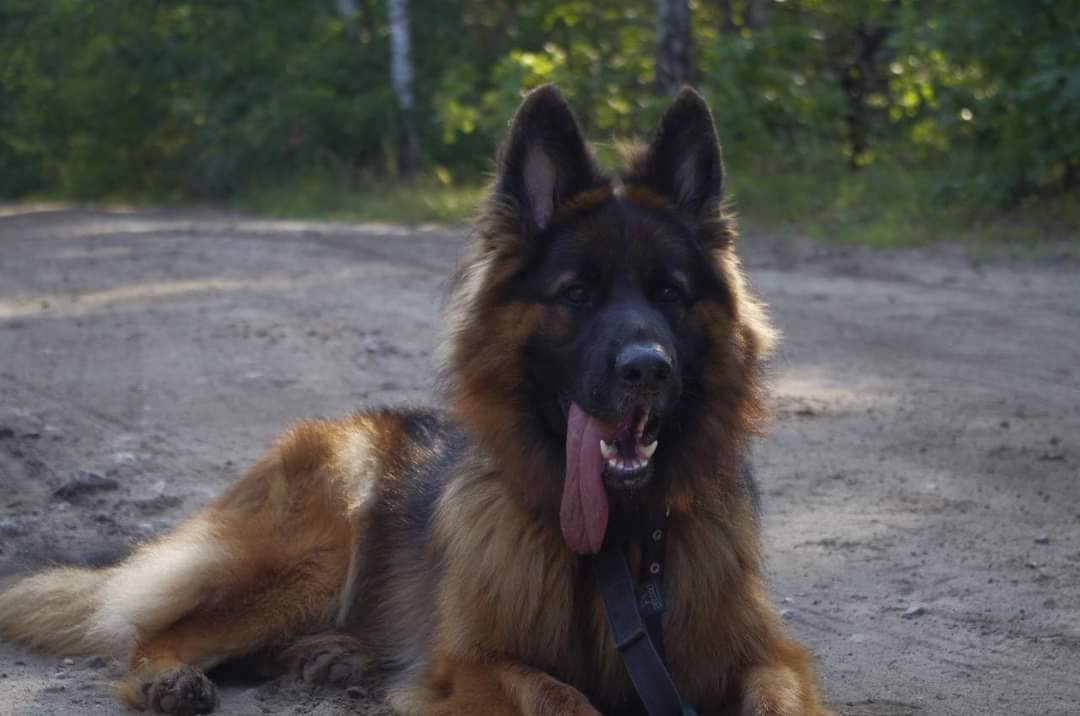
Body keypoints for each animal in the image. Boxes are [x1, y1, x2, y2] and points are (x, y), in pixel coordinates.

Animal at [0, 85, 831, 715]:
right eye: (578, 295)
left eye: (670, 295)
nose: (646, 370)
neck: (617, 547)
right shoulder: (470, 663)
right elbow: (560, 696)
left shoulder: (767, 654)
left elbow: (776, 697)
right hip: (323, 537)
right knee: (157, 631)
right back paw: (175, 676)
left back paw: (334, 656)